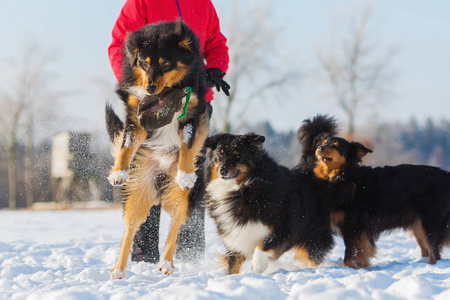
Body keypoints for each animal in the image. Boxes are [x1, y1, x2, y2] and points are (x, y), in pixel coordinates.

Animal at [202, 134, 332, 274]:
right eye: (219, 155)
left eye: (237, 155)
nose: (223, 170)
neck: (242, 190)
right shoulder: (234, 238)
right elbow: (232, 264)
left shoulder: (284, 225)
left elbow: (265, 243)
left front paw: (258, 265)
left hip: (314, 237)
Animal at [298, 115, 450, 270]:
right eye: (324, 143)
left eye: (335, 145)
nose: (319, 147)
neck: (344, 176)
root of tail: (446, 175)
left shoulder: (353, 226)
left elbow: (349, 255)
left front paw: (349, 268)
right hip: (419, 225)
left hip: (430, 222)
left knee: (435, 253)